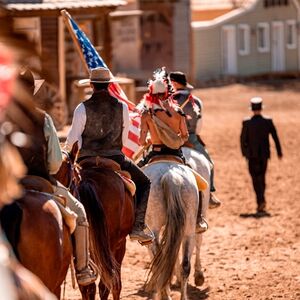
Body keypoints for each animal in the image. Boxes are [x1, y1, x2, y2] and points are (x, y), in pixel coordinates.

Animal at [142, 161, 199, 298]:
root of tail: (171, 175)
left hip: (154, 230)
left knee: (159, 264)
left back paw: (164, 294)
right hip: (189, 229)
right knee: (185, 266)